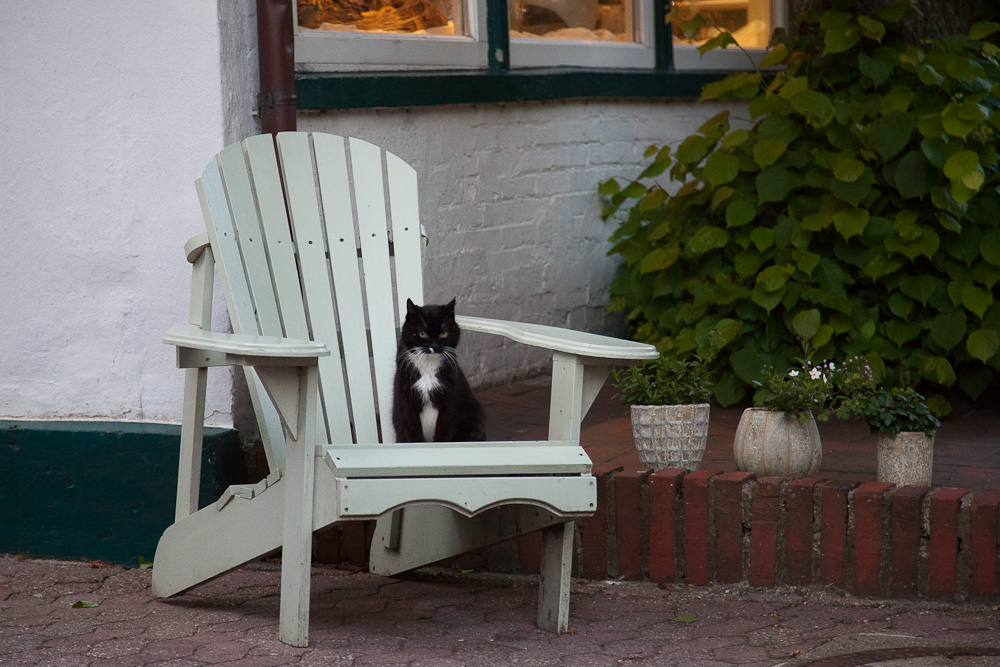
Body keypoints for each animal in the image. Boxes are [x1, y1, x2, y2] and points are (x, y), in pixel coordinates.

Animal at [392, 298, 486, 444]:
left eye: (444, 333)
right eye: (422, 333)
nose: (434, 346)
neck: (428, 367)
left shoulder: (450, 400)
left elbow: (444, 432)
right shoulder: (406, 401)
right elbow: (412, 433)